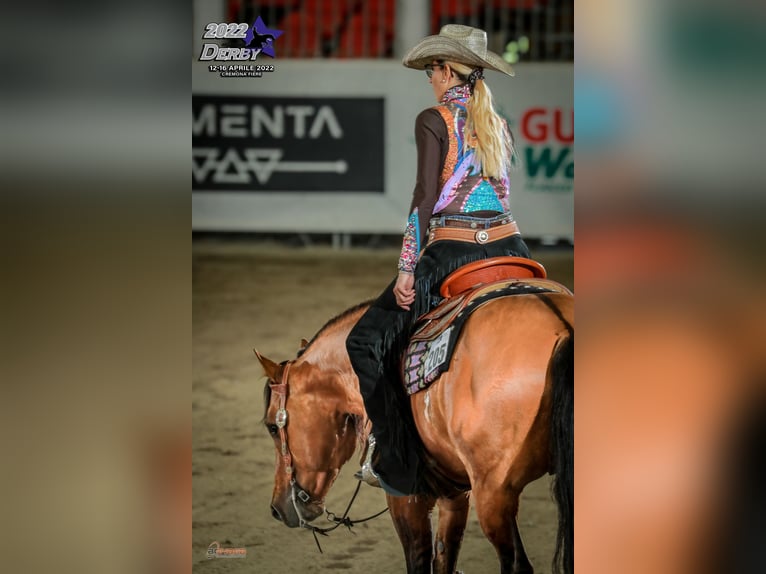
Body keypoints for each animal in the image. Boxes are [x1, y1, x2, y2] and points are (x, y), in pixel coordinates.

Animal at [258, 292, 576, 574]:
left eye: (272, 426)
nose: (276, 509)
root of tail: (562, 327)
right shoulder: (454, 492)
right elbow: (444, 557)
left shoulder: (405, 496)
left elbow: (419, 560)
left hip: (494, 496)